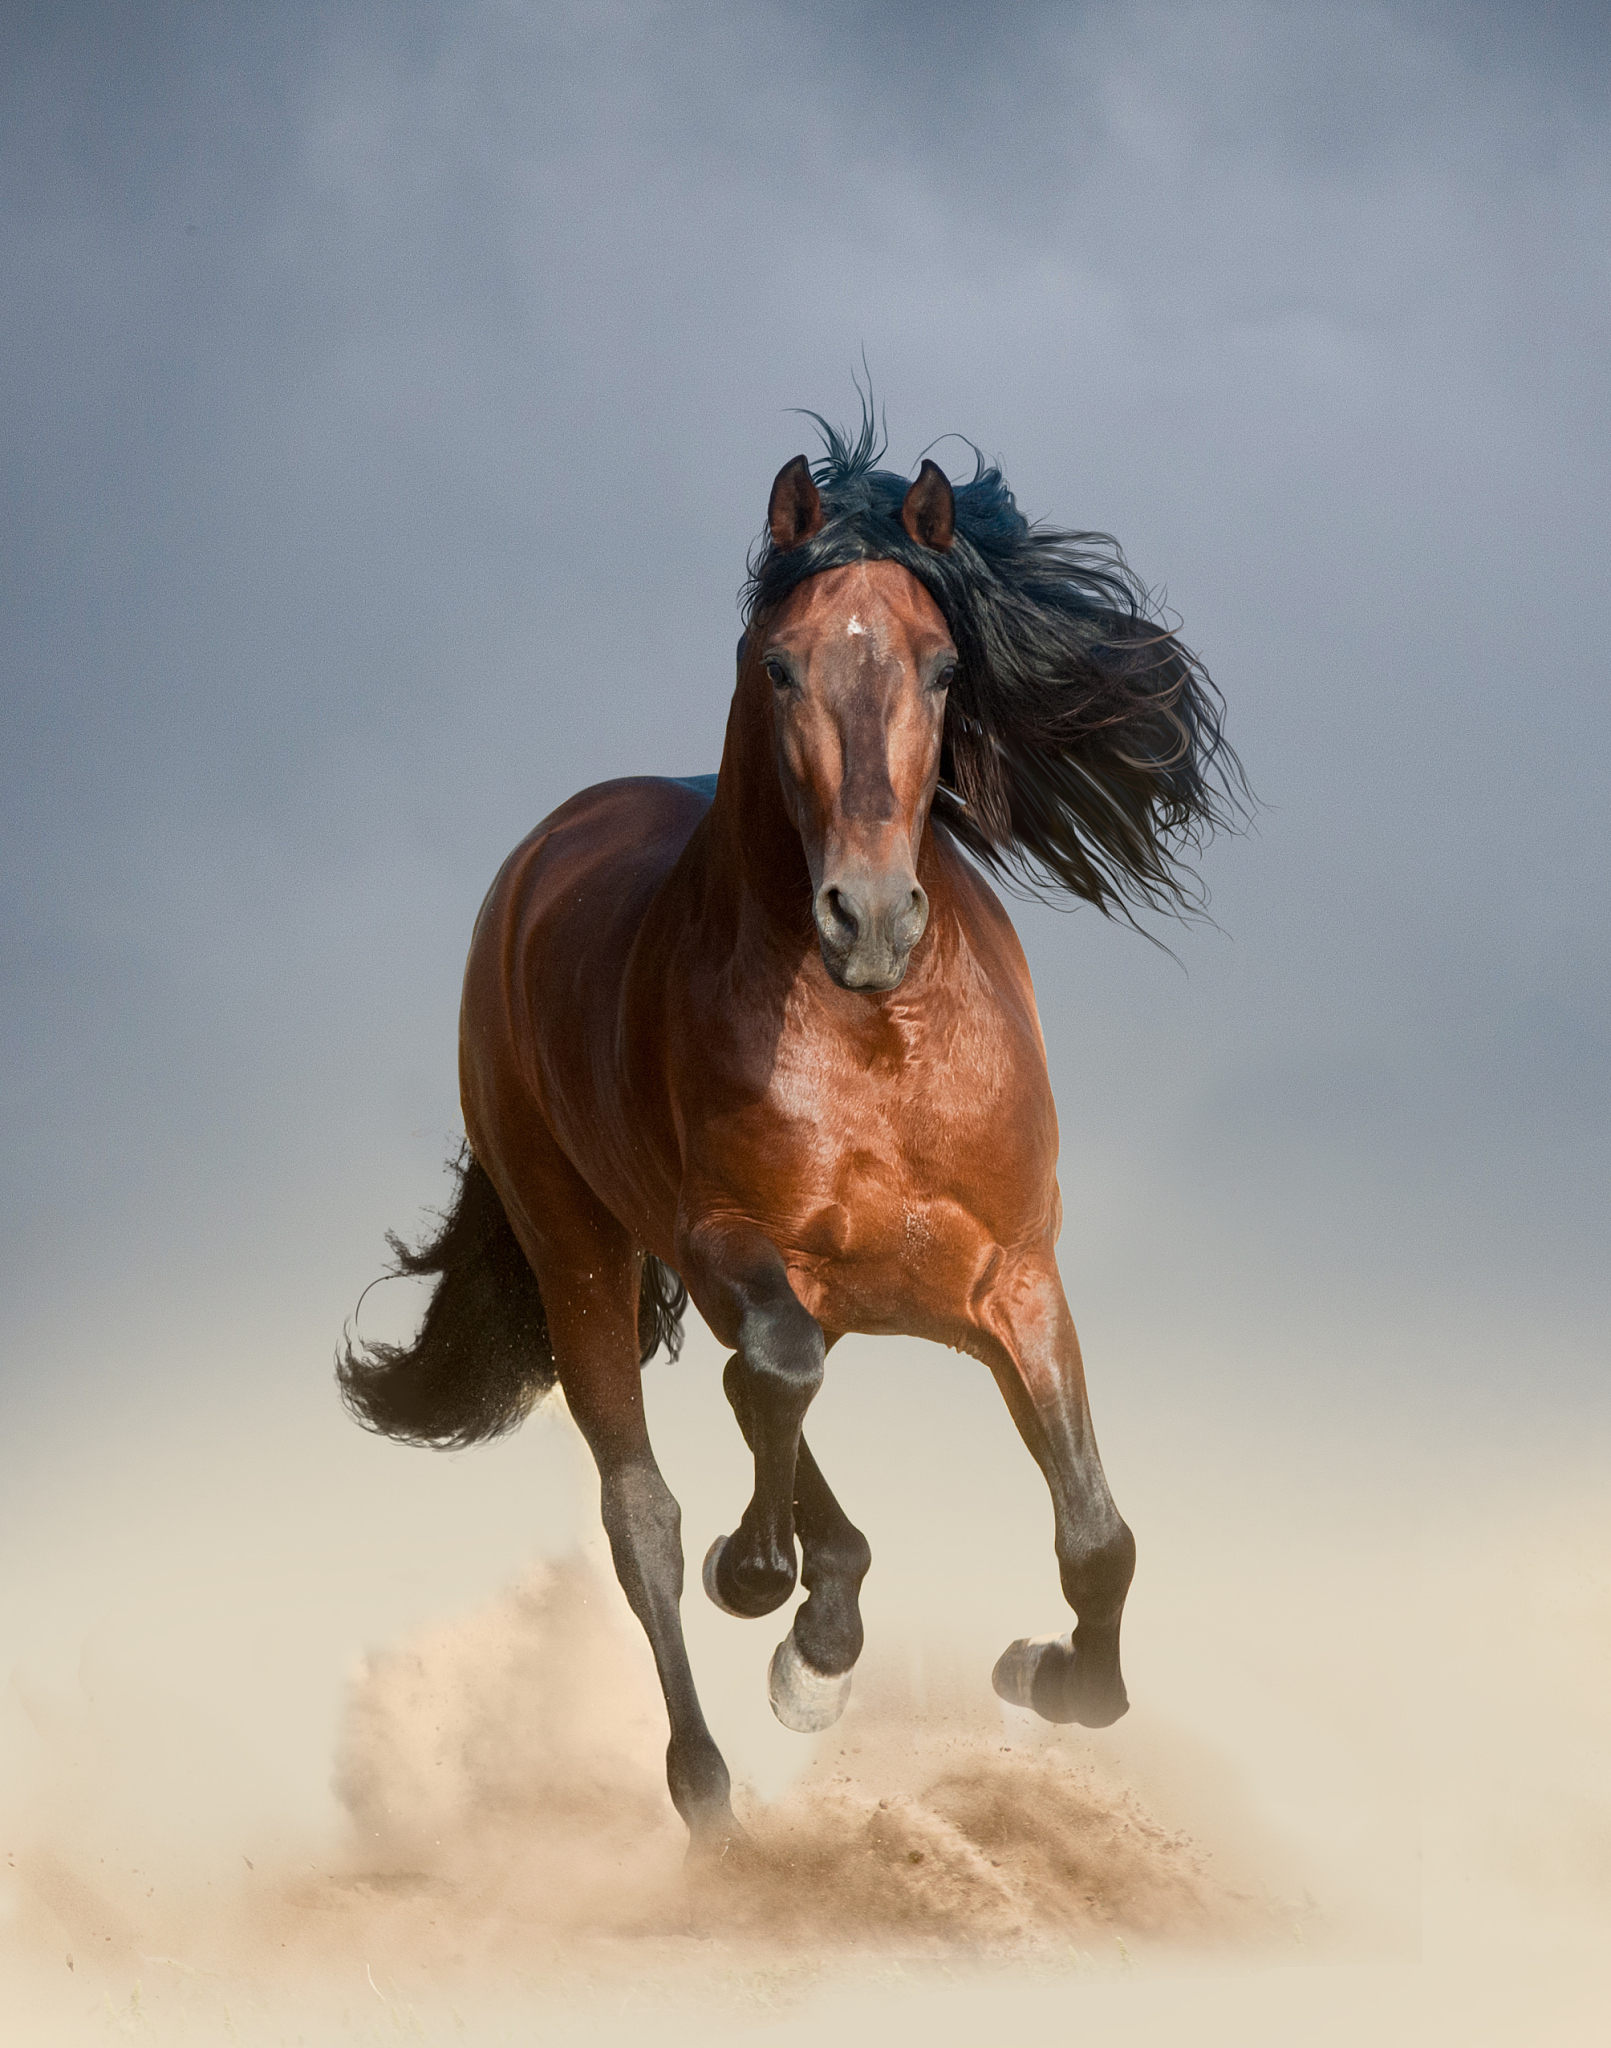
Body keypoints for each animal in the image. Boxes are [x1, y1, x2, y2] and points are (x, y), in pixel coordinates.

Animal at [339, 410, 1242, 1848]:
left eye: (942, 664)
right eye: (777, 665)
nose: (865, 915)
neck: (877, 1041)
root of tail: (544, 851)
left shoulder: (1016, 1277)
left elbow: (1098, 1539)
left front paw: (1037, 1671)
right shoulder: (725, 1240)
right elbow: (768, 1384)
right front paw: (769, 1592)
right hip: (580, 1249)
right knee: (647, 1502)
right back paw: (717, 1776)